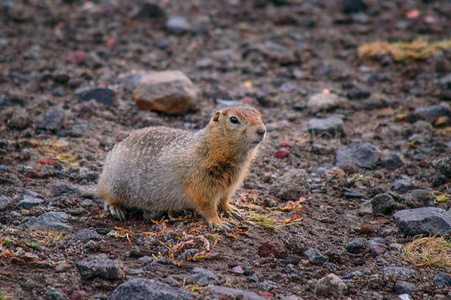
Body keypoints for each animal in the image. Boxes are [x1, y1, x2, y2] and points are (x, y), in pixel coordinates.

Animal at [95, 106, 264, 231]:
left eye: (259, 114)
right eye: (233, 119)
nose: (262, 130)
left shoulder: (230, 185)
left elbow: (224, 199)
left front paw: (231, 210)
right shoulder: (200, 182)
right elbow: (206, 205)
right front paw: (219, 223)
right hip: (114, 184)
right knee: (104, 195)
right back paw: (114, 208)